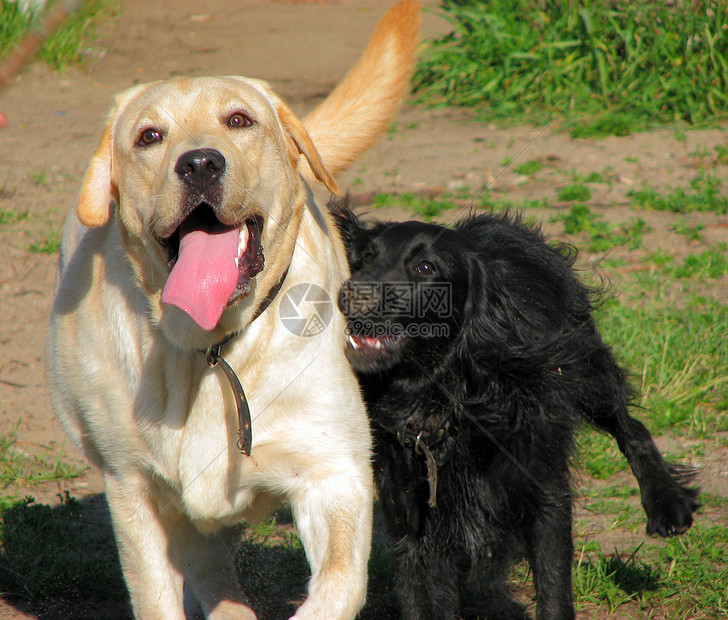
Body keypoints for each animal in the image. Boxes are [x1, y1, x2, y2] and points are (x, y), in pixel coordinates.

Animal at [336, 208, 700, 620]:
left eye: (425, 266)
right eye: (364, 258)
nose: (351, 293)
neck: (445, 405)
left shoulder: (546, 494)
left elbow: (554, 589)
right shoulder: (412, 522)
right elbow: (421, 597)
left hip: (587, 373)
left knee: (631, 426)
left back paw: (667, 506)